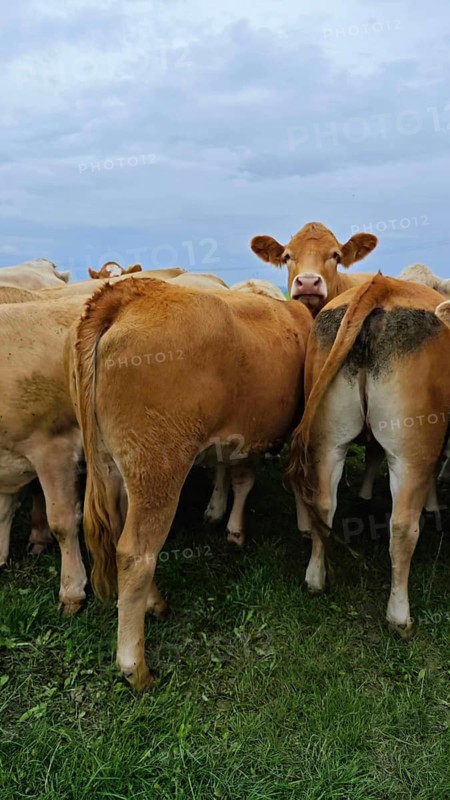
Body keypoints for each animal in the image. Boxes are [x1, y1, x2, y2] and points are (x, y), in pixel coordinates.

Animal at [73, 276, 312, 689]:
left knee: (121, 533)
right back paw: (134, 666)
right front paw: (243, 528)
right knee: (136, 553)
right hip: (159, 467)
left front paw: (221, 516)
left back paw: (154, 603)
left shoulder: (236, 437)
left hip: (115, 465)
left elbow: (232, 476)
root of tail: (132, 291)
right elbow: (252, 479)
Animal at [288, 274, 450, 637]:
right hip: (411, 448)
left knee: (324, 504)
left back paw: (315, 579)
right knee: (402, 527)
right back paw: (399, 617)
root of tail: (381, 285)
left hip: (327, 438)